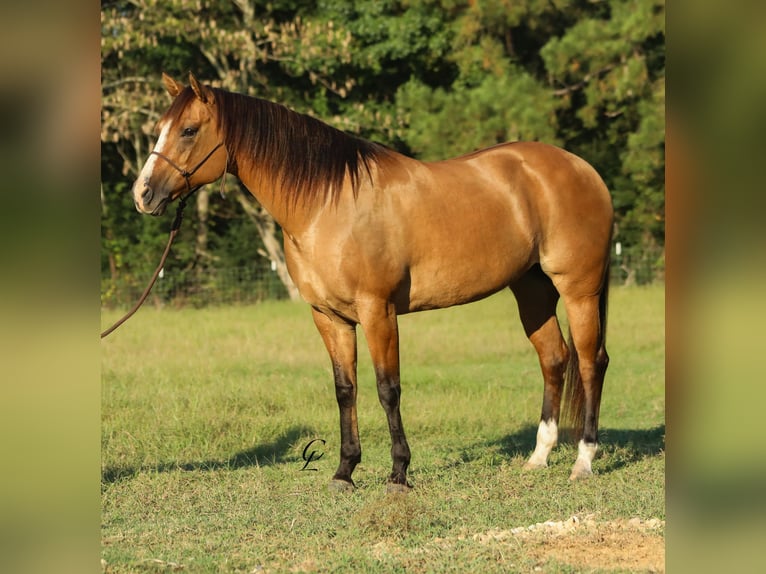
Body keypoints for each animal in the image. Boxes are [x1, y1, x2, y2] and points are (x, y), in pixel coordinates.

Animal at [130, 73, 612, 496]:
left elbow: (387, 388)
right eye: (159, 129)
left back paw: (583, 461)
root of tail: (583, 168)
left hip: (578, 290)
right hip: (532, 290)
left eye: (188, 130)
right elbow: (346, 390)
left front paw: (398, 474)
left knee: (591, 362)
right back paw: (538, 458)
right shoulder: (329, 317)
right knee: (554, 359)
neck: (328, 203)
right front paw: (344, 472)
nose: (143, 194)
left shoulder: (377, 310)